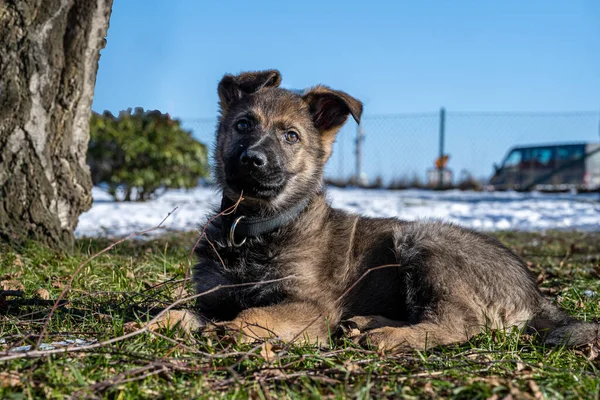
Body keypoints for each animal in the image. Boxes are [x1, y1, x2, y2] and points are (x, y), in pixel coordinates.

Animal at [195, 70, 596, 352]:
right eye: (243, 125)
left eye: (291, 136)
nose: (253, 159)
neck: (256, 225)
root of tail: (536, 293)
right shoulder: (210, 296)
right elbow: (186, 312)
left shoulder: (311, 306)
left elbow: (257, 312)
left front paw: (231, 327)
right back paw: (364, 323)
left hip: (424, 240)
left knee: (460, 324)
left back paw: (386, 336)